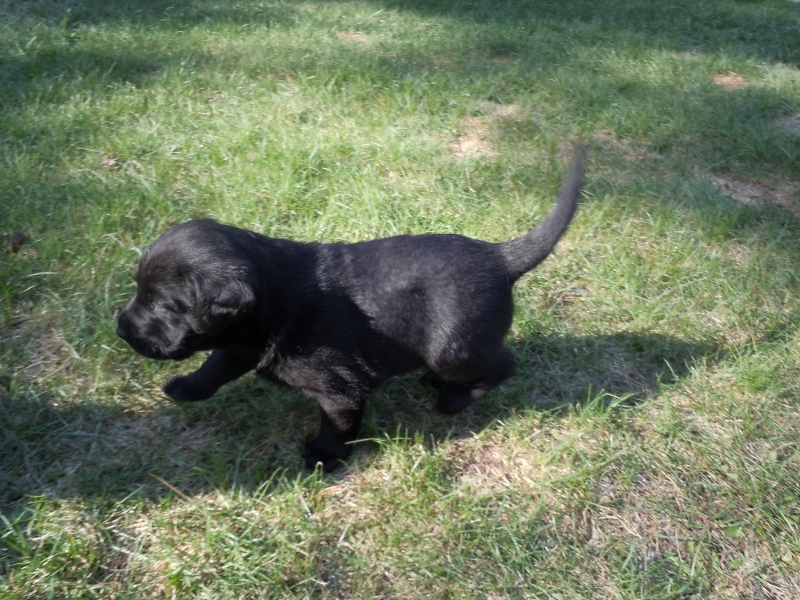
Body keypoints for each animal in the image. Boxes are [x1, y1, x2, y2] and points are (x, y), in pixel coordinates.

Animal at [115, 149, 584, 468]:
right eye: (139, 291)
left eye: (161, 305)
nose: (120, 329)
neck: (274, 298)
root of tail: (500, 257)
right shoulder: (240, 345)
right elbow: (214, 368)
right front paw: (184, 388)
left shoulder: (339, 389)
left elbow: (336, 424)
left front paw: (323, 457)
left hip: (454, 348)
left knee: (503, 364)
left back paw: (452, 398)